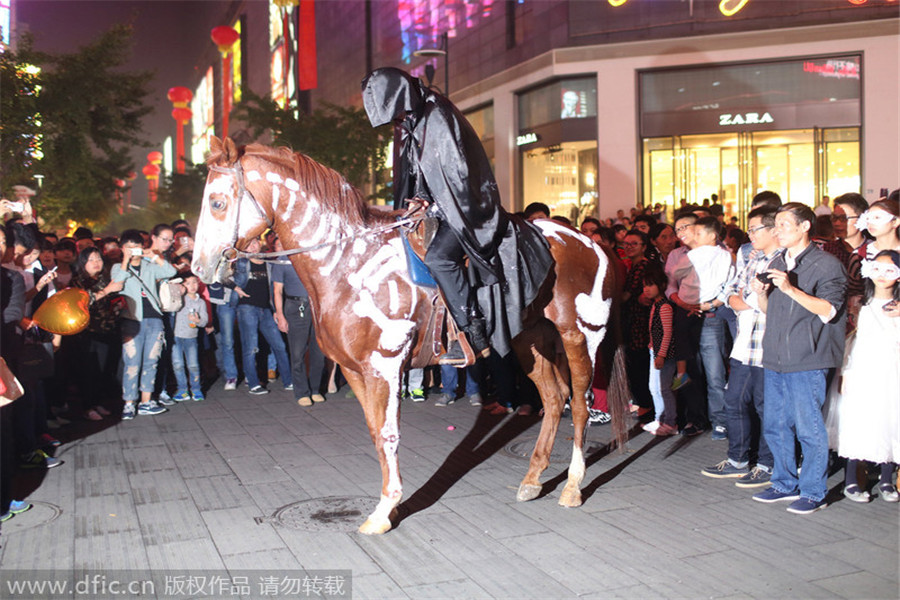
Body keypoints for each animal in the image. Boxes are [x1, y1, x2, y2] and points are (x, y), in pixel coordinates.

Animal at [190, 137, 624, 536]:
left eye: (217, 203)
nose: (200, 269)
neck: (349, 262)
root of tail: (591, 243)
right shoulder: (355, 371)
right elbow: (375, 433)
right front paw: (389, 505)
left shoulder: (385, 365)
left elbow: (388, 433)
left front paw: (384, 511)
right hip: (528, 340)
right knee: (553, 398)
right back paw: (533, 480)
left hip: (580, 337)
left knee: (580, 403)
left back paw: (572, 486)